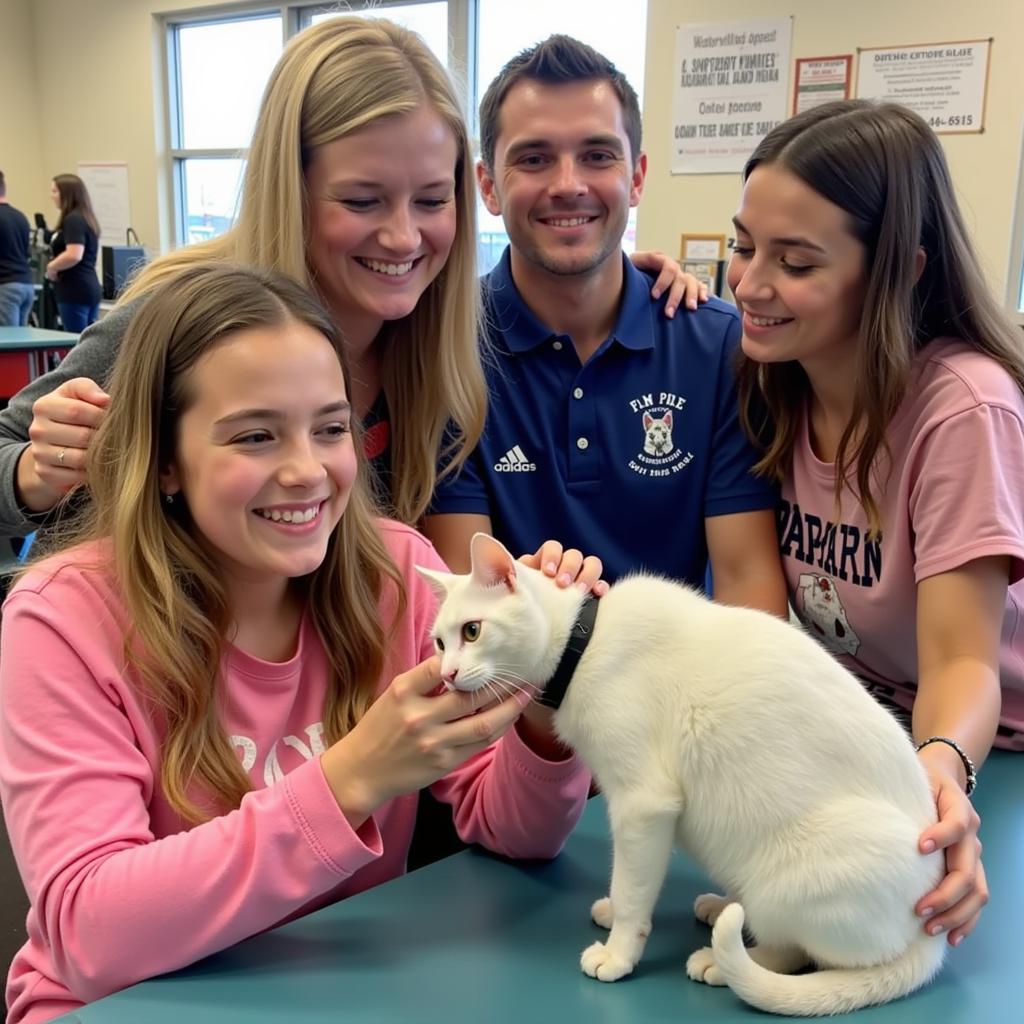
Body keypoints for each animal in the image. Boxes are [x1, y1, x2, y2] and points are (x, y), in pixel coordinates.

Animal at [419, 536, 946, 1015]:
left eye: (472, 631)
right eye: (440, 642)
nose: (446, 674)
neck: (583, 643)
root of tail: (929, 930)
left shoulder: (643, 805)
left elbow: (632, 889)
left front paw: (618, 954)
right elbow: (627, 884)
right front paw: (612, 915)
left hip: (790, 875)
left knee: (799, 951)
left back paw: (722, 960)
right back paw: (720, 907)